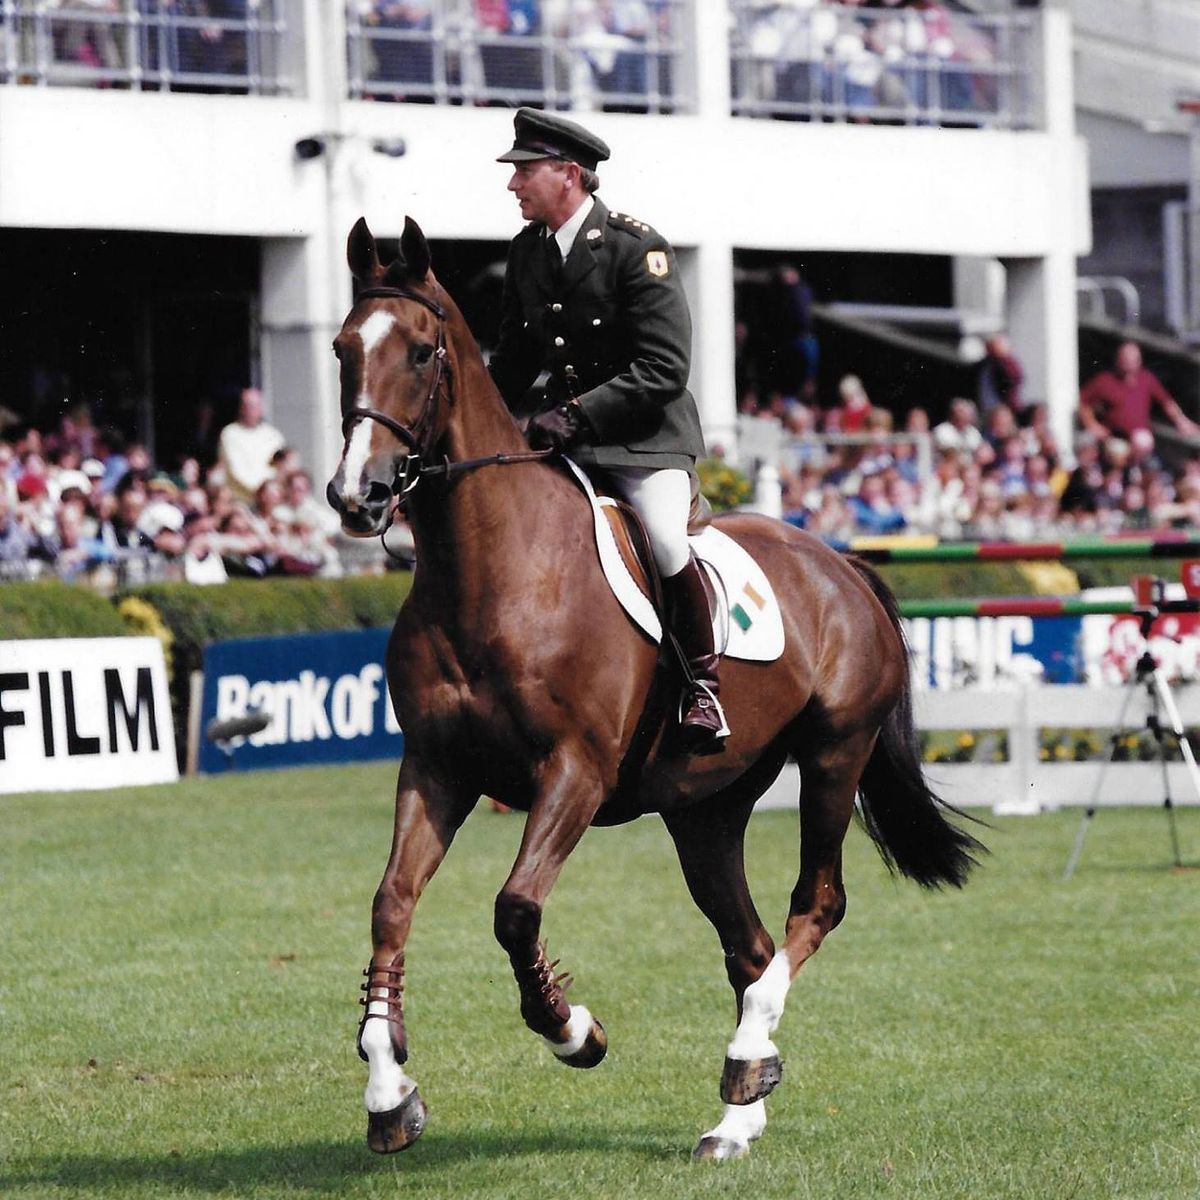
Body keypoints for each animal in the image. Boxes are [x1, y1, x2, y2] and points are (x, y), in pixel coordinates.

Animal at [324, 216, 979, 1161]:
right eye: (342, 349)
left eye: (419, 351)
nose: (357, 495)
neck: (491, 570)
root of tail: (837, 562)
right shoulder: (437, 769)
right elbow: (390, 906)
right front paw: (387, 1089)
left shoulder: (575, 773)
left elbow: (515, 908)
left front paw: (574, 1031)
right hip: (705, 809)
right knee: (748, 944)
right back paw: (739, 1108)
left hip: (834, 755)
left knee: (815, 904)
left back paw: (745, 1060)